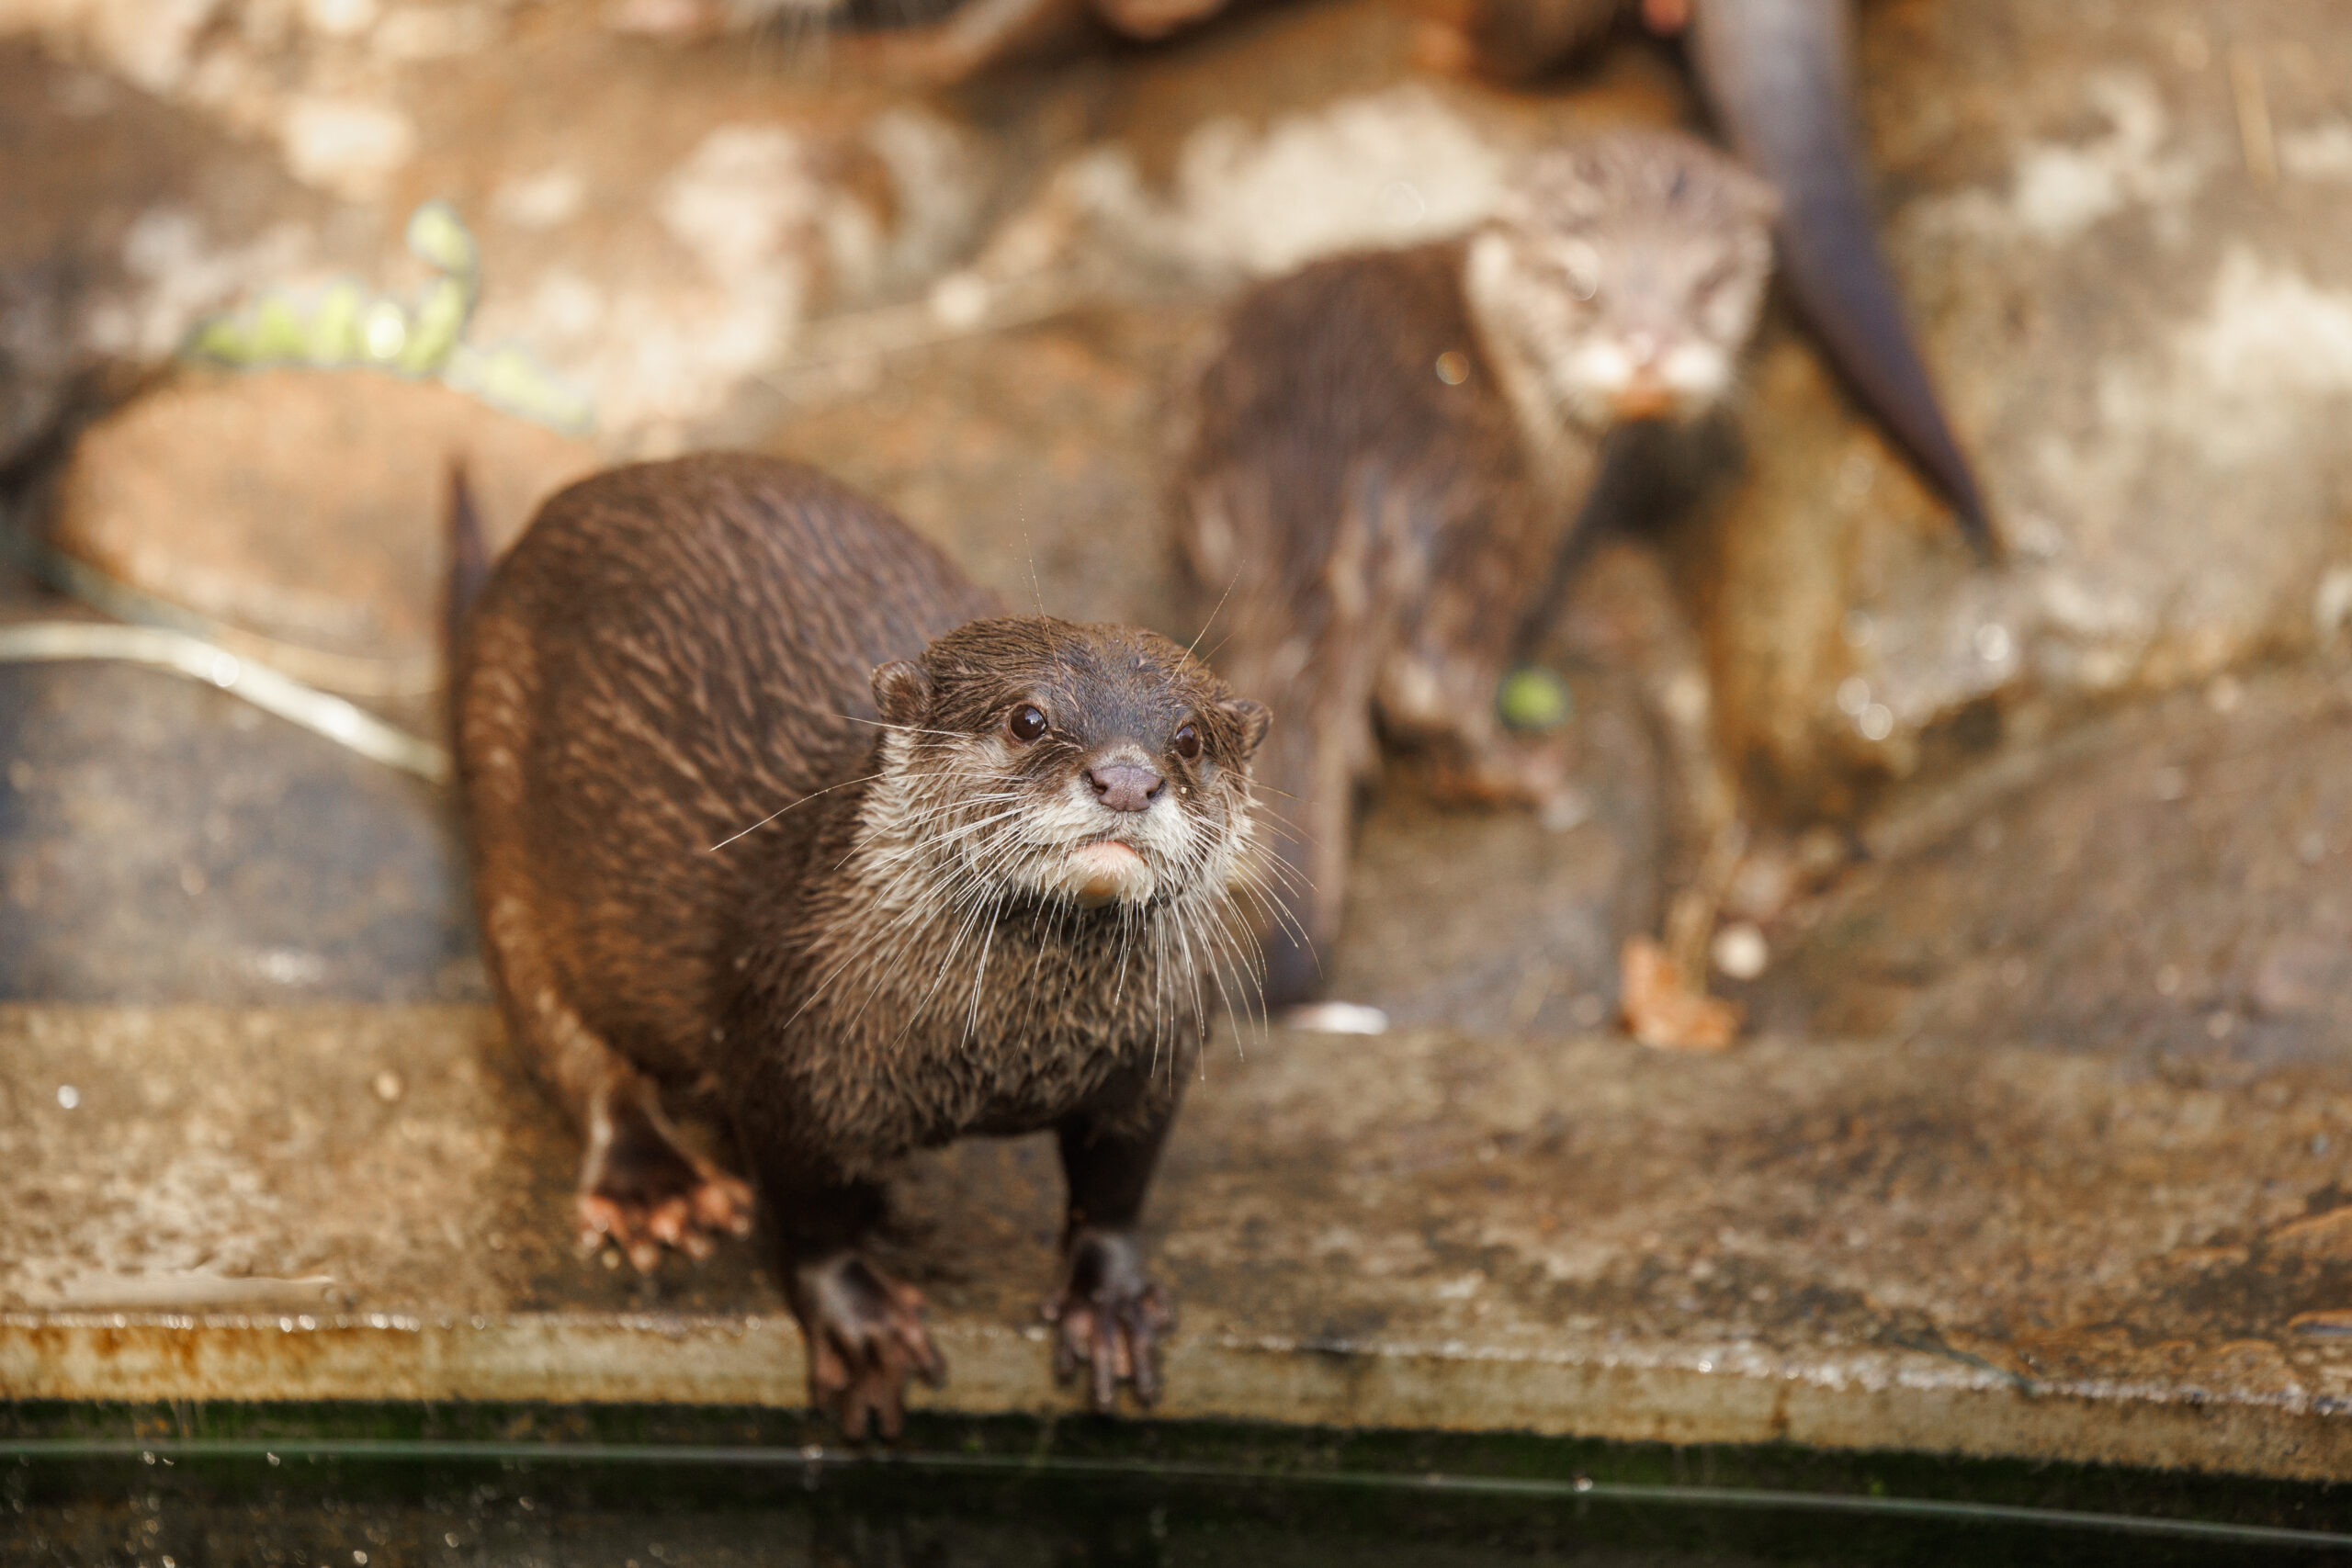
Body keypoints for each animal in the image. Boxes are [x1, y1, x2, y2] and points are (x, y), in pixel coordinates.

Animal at [451, 453, 1279, 1438]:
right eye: (1028, 719)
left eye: (1188, 738)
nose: (1126, 777)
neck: (1003, 1057)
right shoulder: (787, 1044)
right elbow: (807, 1207)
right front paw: (861, 1320)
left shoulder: (1157, 1043)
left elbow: (1118, 1181)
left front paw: (1107, 1300)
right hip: (503, 824)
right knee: (562, 1039)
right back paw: (655, 1185)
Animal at [1176, 131, 1769, 1020]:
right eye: (1581, 283)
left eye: (1708, 283)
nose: (1649, 352)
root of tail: (1326, 455)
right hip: (1475, 516)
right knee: (1433, 682)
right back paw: (1531, 770)